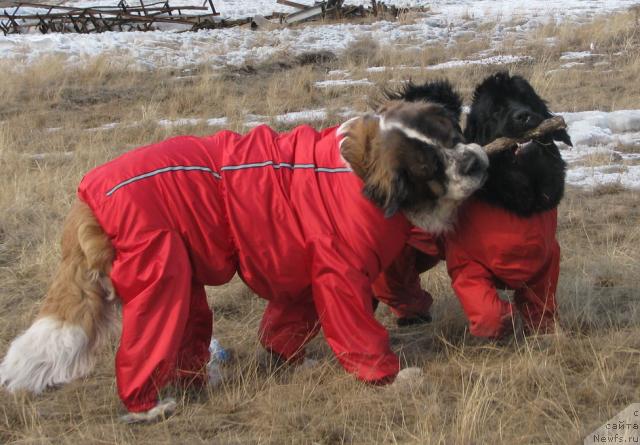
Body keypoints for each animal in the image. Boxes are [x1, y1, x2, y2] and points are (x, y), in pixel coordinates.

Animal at [0, 99, 484, 420]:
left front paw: (290, 361)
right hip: (159, 274)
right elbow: (357, 332)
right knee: (145, 348)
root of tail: (89, 196)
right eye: (428, 168)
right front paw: (389, 377)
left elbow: (285, 323)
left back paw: (198, 383)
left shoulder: (302, 272)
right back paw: (149, 406)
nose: (475, 160)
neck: (359, 175)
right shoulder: (338, 273)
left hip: (181, 277)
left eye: (454, 137)